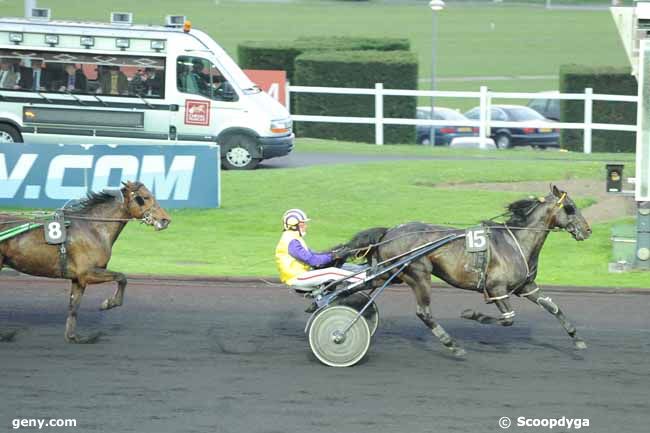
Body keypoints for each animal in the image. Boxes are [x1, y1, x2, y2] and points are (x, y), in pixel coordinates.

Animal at [0, 181, 170, 342]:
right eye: (145, 197)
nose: (165, 220)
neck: (93, 229)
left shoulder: (78, 279)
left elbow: (74, 307)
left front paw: (73, 337)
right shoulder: (87, 273)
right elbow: (122, 277)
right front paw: (109, 303)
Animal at [334, 184, 592, 356]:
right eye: (570, 208)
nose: (587, 230)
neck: (516, 241)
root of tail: (389, 232)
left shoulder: (527, 286)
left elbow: (553, 308)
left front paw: (577, 339)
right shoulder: (496, 288)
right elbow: (508, 319)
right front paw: (471, 314)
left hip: (391, 273)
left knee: (354, 287)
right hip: (418, 273)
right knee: (423, 312)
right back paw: (452, 345)